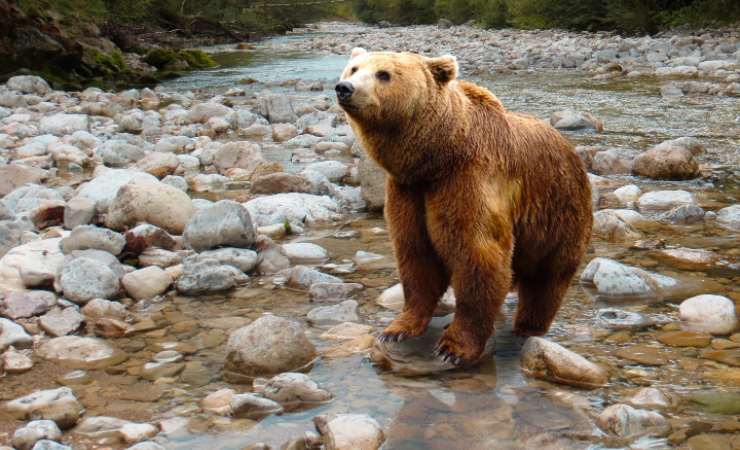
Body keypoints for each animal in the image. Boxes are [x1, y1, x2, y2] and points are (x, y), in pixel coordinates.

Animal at [338, 48, 592, 366]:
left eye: (383, 74)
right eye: (353, 68)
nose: (344, 88)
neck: (437, 157)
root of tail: (572, 150)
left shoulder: (467, 180)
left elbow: (477, 255)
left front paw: (453, 348)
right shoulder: (409, 191)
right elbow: (416, 256)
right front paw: (397, 329)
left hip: (558, 213)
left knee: (547, 280)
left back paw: (527, 326)